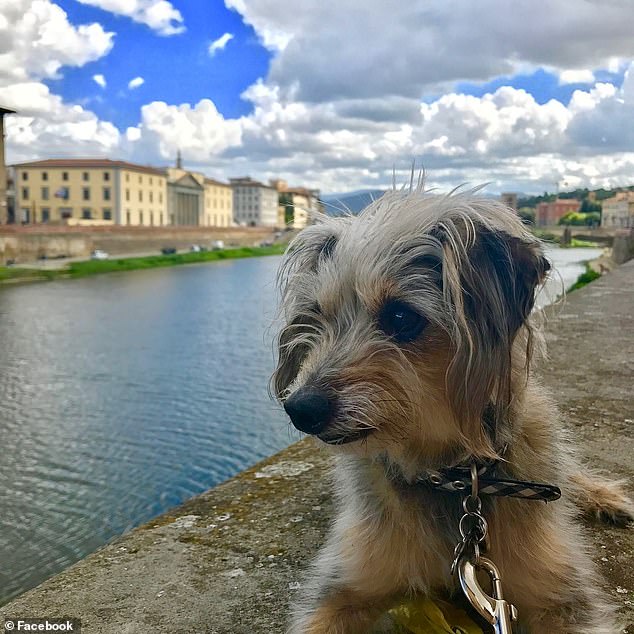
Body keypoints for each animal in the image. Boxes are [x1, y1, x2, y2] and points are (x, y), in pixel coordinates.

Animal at [272, 189, 632, 632]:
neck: (452, 478)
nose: (299, 408)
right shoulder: (341, 588)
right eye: (317, 316)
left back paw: (603, 497)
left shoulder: (564, 600)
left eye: (401, 316)